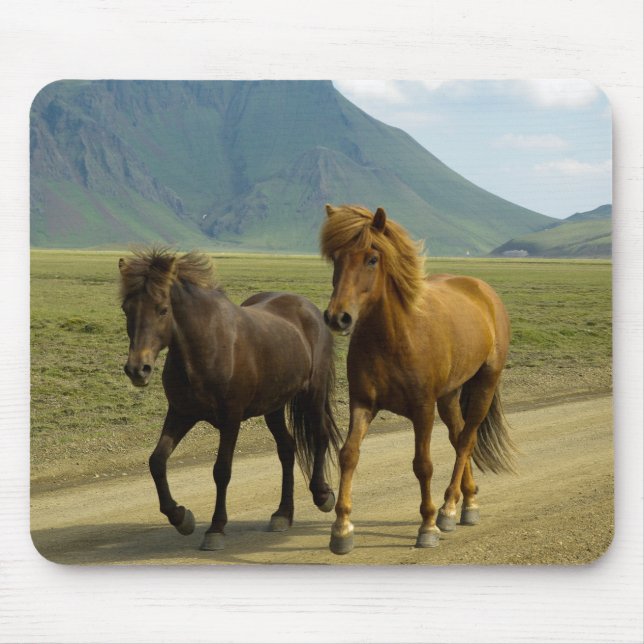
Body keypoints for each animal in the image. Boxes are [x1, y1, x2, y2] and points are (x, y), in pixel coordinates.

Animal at [118, 248, 341, 551]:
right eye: (126, 309)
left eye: (162, 309)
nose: (137, 369)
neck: (206, 347)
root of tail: (308, 308)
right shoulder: (180, 413)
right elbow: (157, 461)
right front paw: (180, 517)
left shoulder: (230, 419)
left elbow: (221, 471)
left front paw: (215, 529)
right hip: (273, 406)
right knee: (287, 449)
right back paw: (283, 514)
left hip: (313, 394)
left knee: (319, 436)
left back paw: (322, 495)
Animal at [320, 204, 517, 554]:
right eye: (336, 258)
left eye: (372, 259)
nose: (337, 317)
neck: (393, 337)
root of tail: (483, 290)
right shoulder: (363, 403)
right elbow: (348, 455)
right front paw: (342, 528)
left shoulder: (422, 409)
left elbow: (422, 464)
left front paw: (427, 525)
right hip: (450, 396)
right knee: (458, 436)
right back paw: (468, 502)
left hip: (484, 383)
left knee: (467, 439)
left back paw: (449, 508)